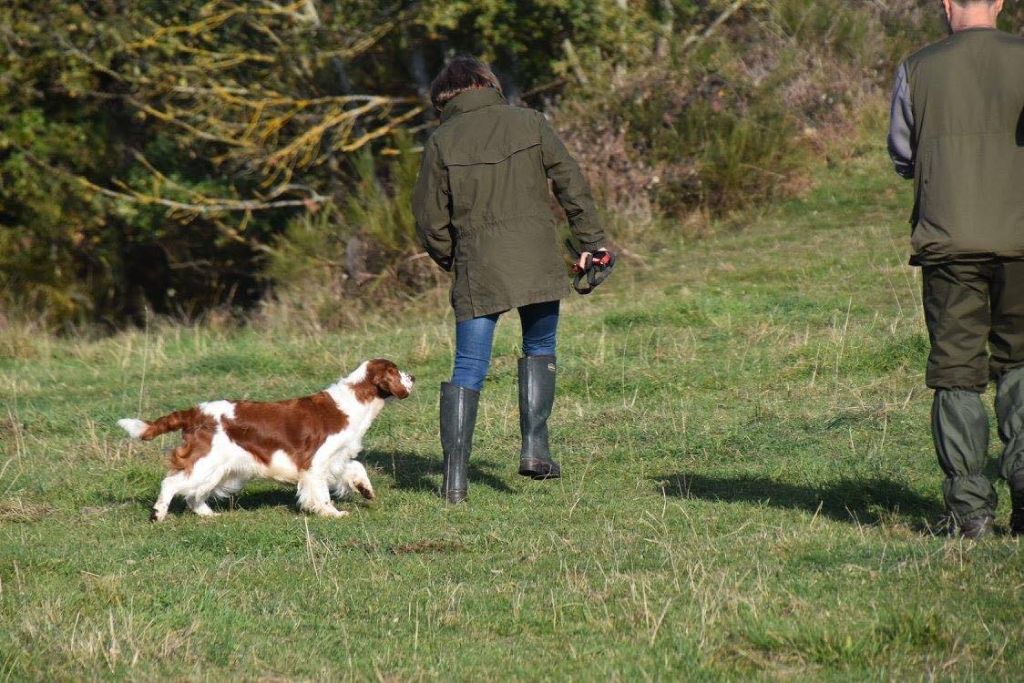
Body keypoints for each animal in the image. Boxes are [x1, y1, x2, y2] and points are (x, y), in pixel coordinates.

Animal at [116, 360, 411, 520]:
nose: (414, 377)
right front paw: (332, 513)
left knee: (193, 494)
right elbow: (321, 492)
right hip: (206, 462)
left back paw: (210, 515)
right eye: (397, 372)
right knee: (172, 483)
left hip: (219, 469)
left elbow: (356, 467)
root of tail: (196, 412)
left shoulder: (336, 457)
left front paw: (365, 489)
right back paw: (158, 515)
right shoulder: (315, 461)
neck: (352, 401)